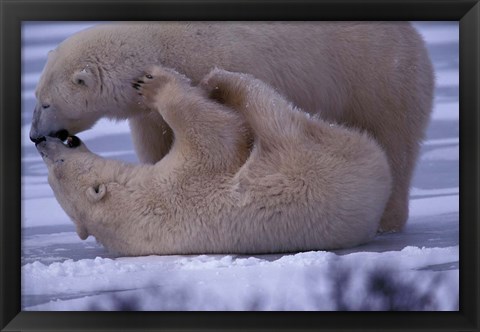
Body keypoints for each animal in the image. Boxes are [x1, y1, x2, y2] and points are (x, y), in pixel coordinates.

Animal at [30, 22, 436, 232]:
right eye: (35, 95)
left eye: (46, 102)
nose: (34, 135)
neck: (156, 44)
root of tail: (415, 36)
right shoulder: (146, 113)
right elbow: (156, 139)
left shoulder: (218, 59)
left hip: (378, 76)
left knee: (393, 139)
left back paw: (387, 218)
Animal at [35, 67, 392, 254]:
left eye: (52, 171)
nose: (41, 143)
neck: (132, 207)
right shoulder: (184, 184)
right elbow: (218, 134)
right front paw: (155, 85)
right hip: (312, 162)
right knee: (271, 112)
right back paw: (222, 81)